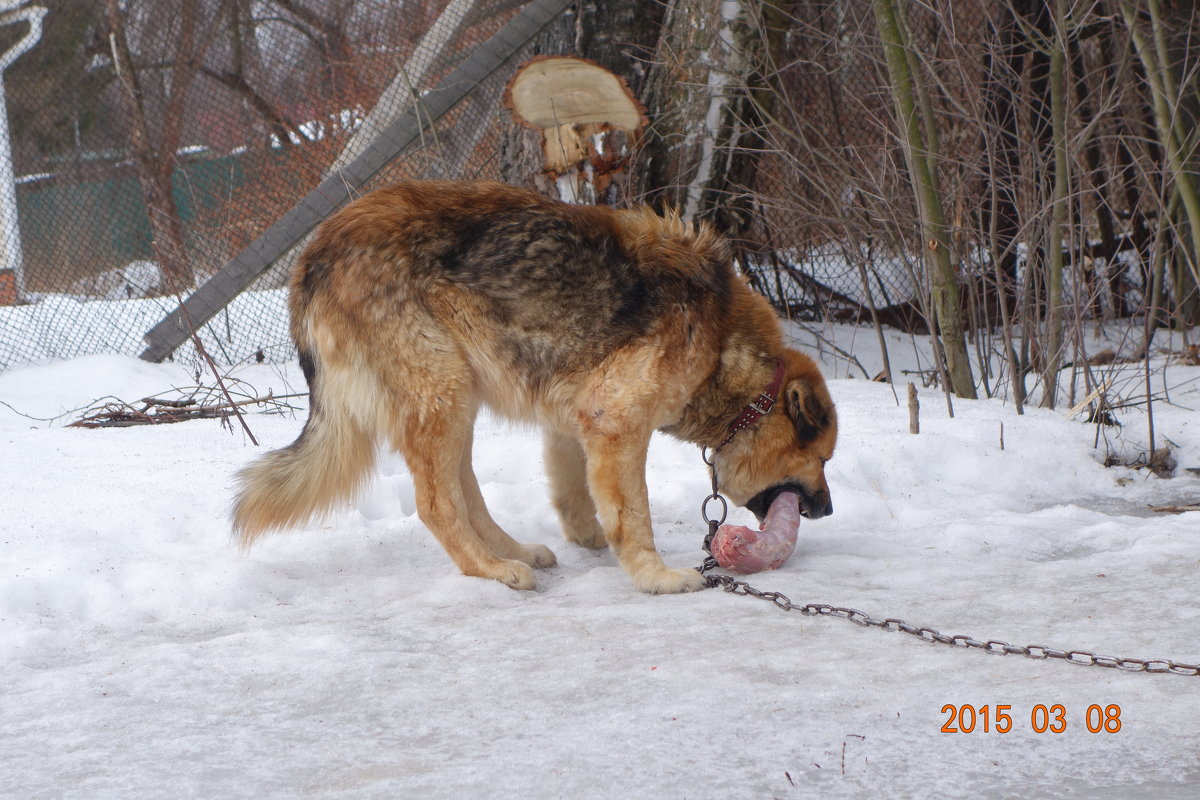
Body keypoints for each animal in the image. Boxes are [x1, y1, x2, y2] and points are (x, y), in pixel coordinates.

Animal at [231, 181, 835, 594]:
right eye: (824, 459)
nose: (828, 511)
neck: (722, 347)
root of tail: (314, 257)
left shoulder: (576, 423)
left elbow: (577, 496)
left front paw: (592, 539)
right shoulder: (616, 424)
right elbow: (634, 518)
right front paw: (654, 576)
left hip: (459, 399)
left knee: (464, 493)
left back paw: (511, 550)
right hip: (443, 396)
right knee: (436, 505)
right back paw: (492, 570)